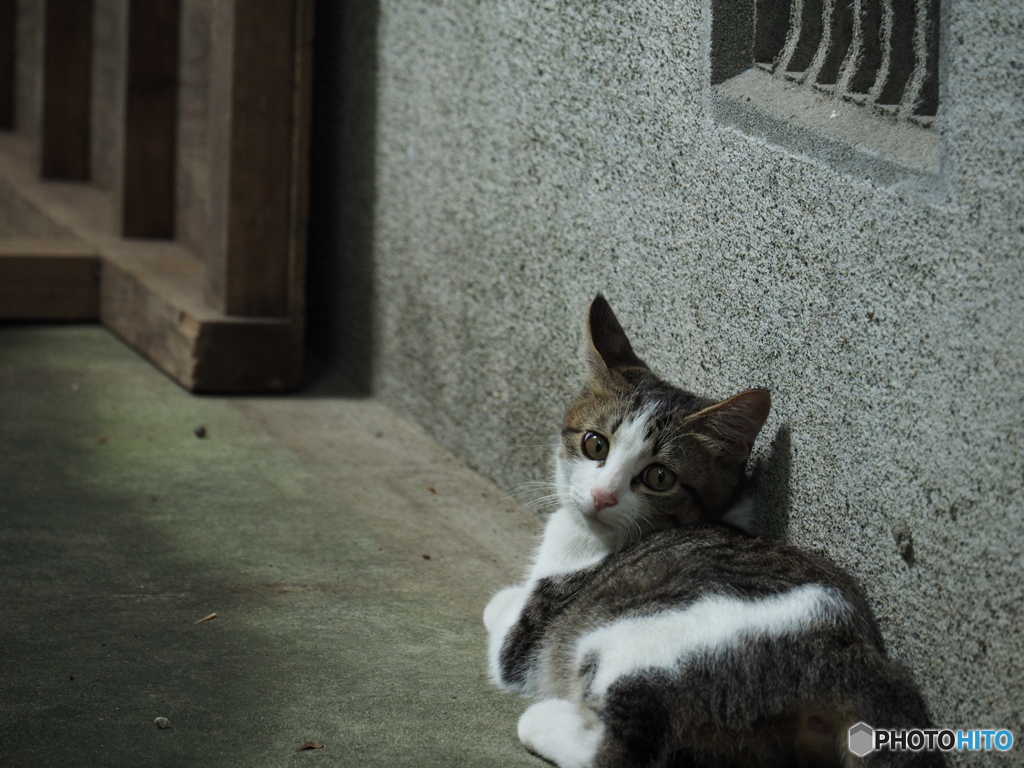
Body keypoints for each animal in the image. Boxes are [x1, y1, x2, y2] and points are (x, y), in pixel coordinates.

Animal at [483, 296, 937, 768]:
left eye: (659, 476)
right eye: (595, 444)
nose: (602, 495)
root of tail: (849, 658)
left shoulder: (528, 636)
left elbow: (504, 626)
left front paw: (501, 601)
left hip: (644, 643)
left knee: (620, 749)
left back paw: (546, 719)